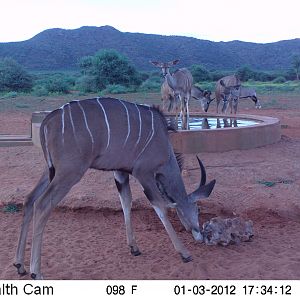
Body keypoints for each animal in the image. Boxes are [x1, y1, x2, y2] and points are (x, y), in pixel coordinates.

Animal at [14, 97, 216, 280]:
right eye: (197, 210)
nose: (200, 235)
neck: (164, 147)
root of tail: (48, 120)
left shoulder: (120, 172)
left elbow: (126, 202)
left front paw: (134, 247)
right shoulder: (143, 173)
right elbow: (160, 207)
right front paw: (184, 253)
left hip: (51, 171)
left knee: (30, 199)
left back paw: (19, 265)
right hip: (69, 172)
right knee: (42, 204)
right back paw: (36, 272)